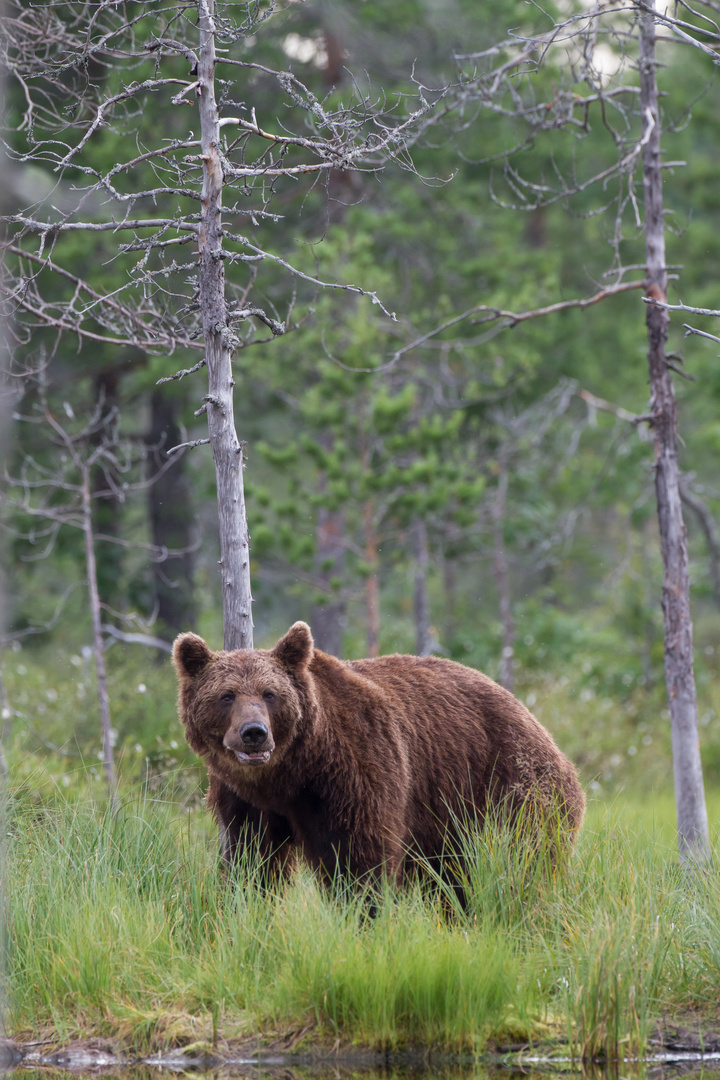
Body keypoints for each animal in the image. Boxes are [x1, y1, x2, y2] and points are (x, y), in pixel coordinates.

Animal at [172, 626, 587, 885]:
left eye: (269, 693)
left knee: (524, 855)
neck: (290, 776)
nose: (254, 733)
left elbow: (360, 858)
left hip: (511, 780)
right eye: (227, 695)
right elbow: (252, 861)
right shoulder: (245, 801)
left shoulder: (355, 771)